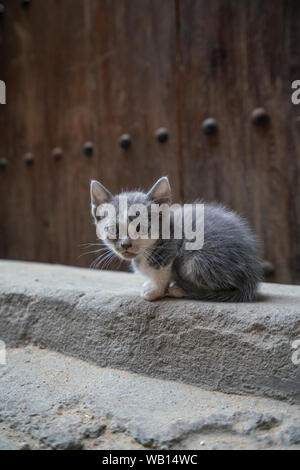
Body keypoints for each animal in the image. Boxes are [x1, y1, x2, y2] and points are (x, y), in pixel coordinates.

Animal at [89, 176, 262, 302]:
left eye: (141, 228)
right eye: (114, 229)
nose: (126, 244)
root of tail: (251, 275)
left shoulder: (171, 249)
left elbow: (162, 272)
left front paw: (155, 290)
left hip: (195, 262)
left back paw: (180, 289)